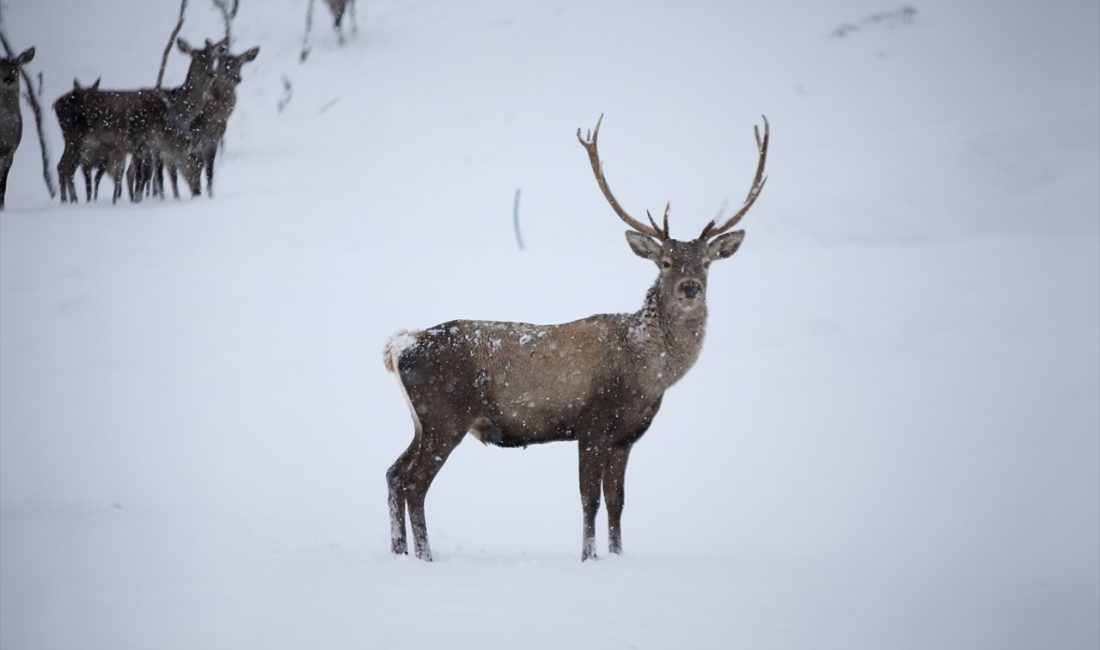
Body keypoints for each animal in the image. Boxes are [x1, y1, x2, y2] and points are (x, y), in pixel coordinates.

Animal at [382, 114, 770, 563]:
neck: (649, 372)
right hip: (445, 415)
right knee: (414, 482)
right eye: (665, 262)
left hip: (422, 420)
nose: (689, 288)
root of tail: (399, 347)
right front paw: (588, 558)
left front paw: (617, 556)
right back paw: (425, 558)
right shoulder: (593, 424)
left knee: (394, 473)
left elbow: (618, 501)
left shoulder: (626, 436)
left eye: (706, 262)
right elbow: (590, 499)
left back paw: (400, 553)